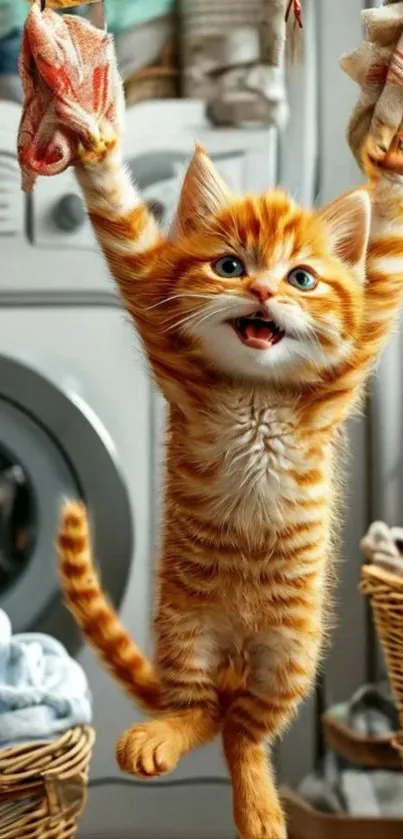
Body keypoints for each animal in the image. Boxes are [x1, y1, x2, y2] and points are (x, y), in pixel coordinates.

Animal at [57, 124, 403, 839]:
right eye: (230, 267)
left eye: (301, 278)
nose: (265, 293)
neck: (256, 391)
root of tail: (236, 661)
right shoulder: (157, 312)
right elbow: (120, 223)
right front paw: (92, 142)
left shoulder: (355, 349)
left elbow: (385, 263)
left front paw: (388, 165)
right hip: (186, 629)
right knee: (205, 712)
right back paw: (169, 735)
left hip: (290, 653)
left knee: (244, 730)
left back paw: (259, 802)